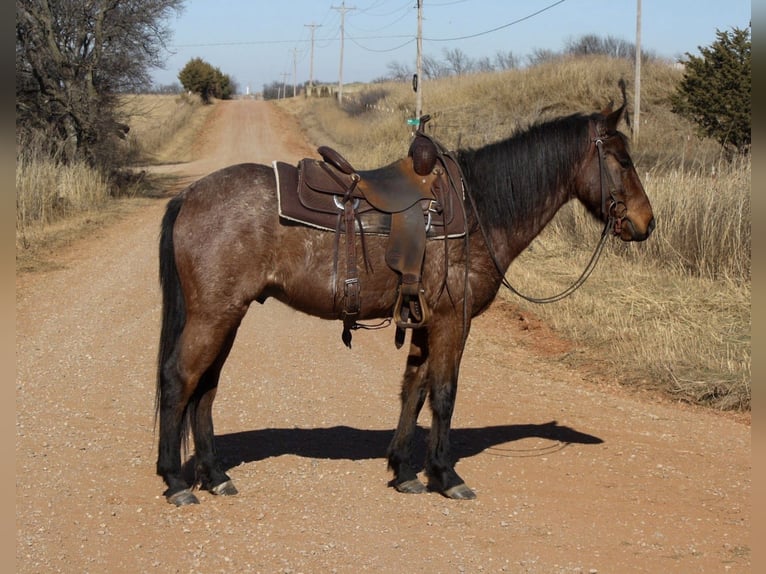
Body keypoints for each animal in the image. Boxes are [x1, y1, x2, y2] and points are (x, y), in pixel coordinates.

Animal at [155, 90, 655, 506]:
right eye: (622, 159)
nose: (646, 223)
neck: (477, 210)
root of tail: (190, 195)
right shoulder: (454, 319)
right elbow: (445, 393)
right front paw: (446, 475)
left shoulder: (425, 320)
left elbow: (414, 391)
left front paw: (405, 471)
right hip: (213, 315)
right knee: (179, 380)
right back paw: (176, 481)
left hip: (228, 314)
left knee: (205, 389)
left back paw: (215, 475)